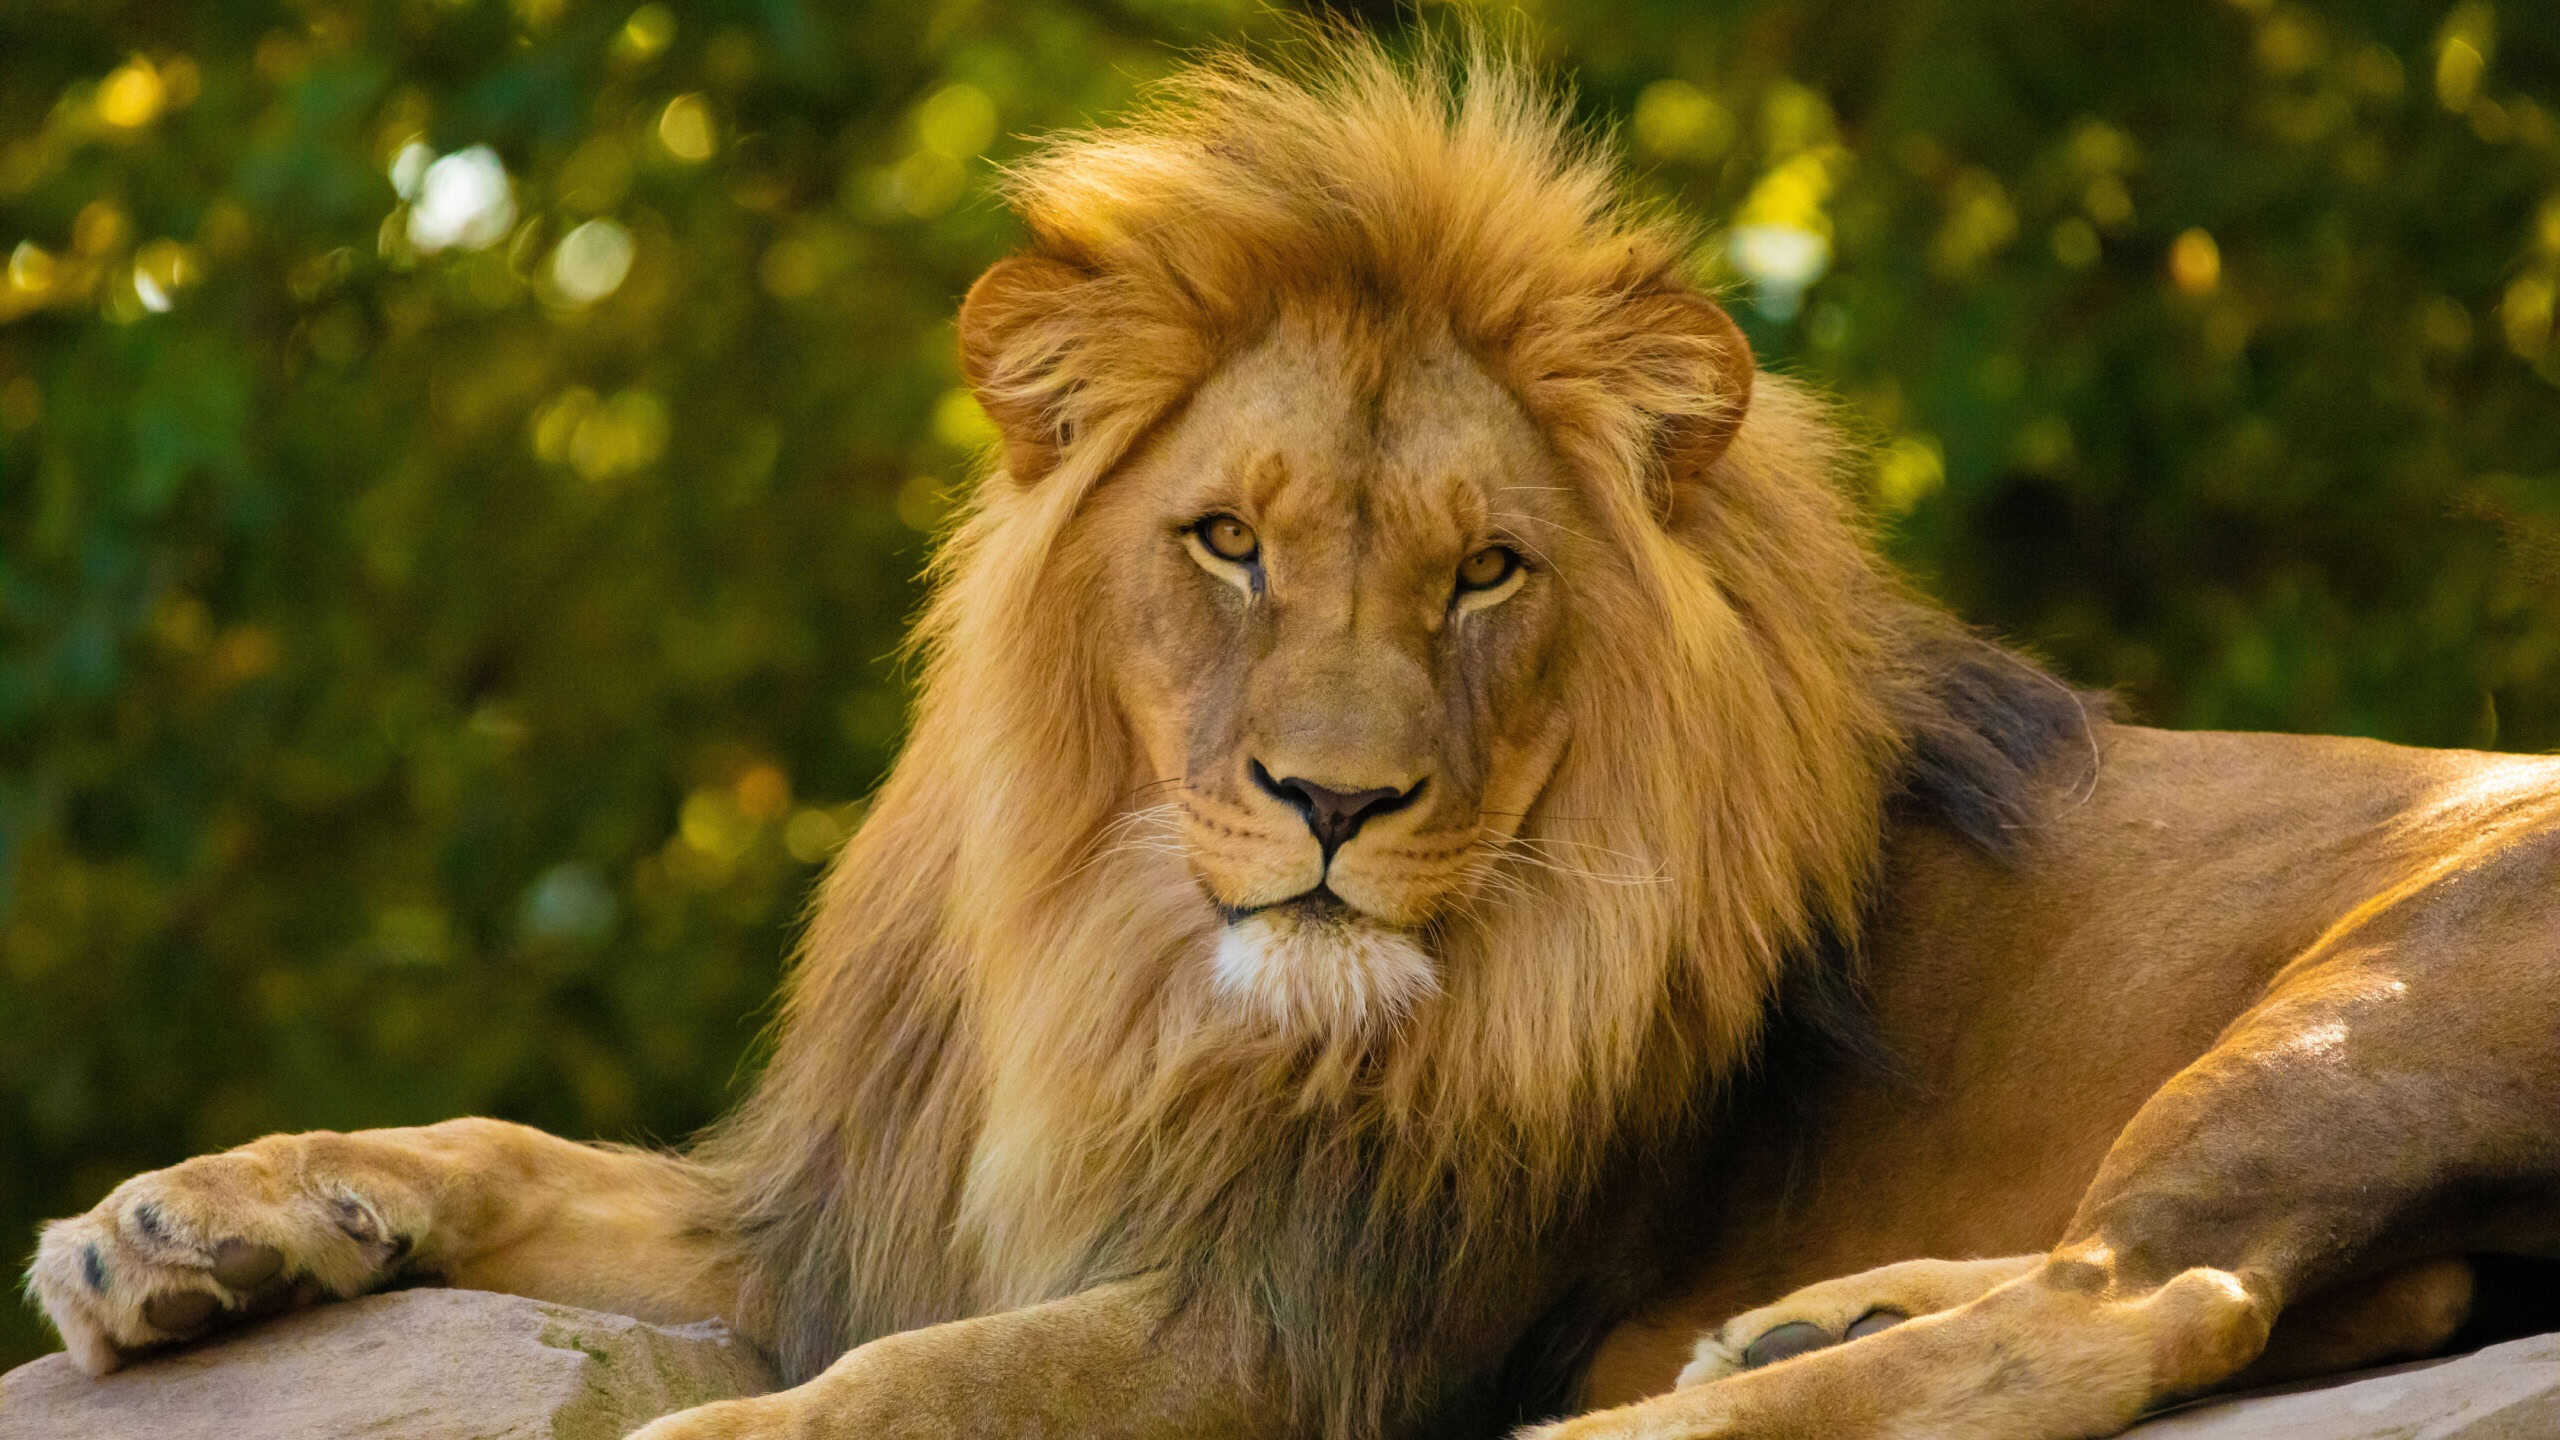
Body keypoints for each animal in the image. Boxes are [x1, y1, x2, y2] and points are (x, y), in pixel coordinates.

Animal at [26, 32, 2560, 1440]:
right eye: (1227, 541)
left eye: (1486, 571)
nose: (1331, 802)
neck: (1146, 982)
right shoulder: (874, 1203)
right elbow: (513, 1149)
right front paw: (185, 1221)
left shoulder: (1310, 1326)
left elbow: (941, 1384)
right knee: (2245, 1292)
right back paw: (1781, 1328)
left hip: (2373, 984)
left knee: (2133, 1307)